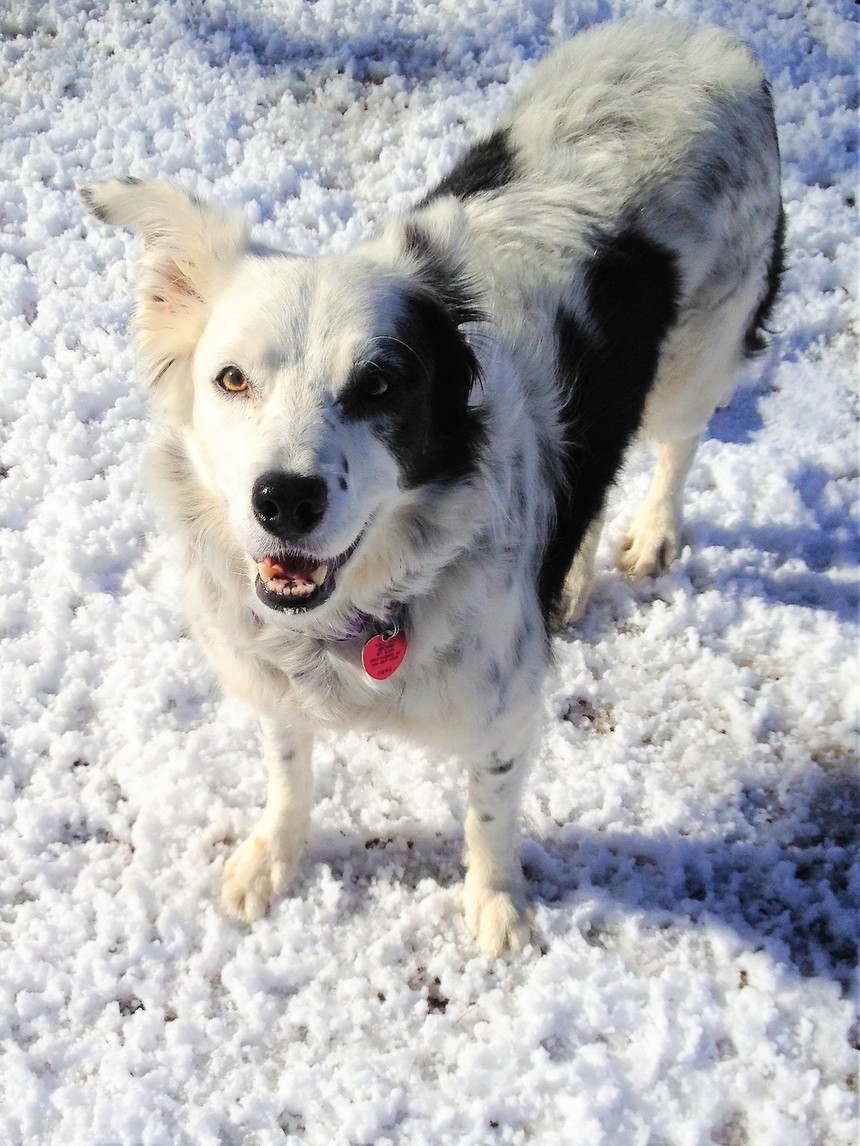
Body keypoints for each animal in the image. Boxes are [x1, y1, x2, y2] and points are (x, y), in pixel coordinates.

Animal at [82, 20, 788, 958]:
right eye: (232, 379)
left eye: (380, 385)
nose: (285, 501)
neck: (364, 613)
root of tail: (705, 31)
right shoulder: (276, 685)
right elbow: (289, 771)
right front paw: (273, 858)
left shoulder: (508, 711)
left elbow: (489, 815)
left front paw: (497, 905)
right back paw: (570, 581)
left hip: (698, 351)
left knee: (675, 443)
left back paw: (651, 536)